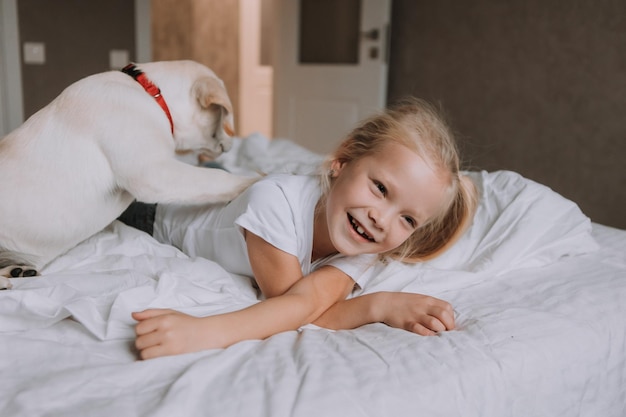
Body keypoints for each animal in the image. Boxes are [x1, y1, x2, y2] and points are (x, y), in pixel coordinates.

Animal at [1, 59, 256, 290]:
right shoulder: (154, 173)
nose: (232, 143)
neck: (151, 95)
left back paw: (16, 272)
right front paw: (258, 178)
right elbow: (219, 179)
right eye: (225, 116)